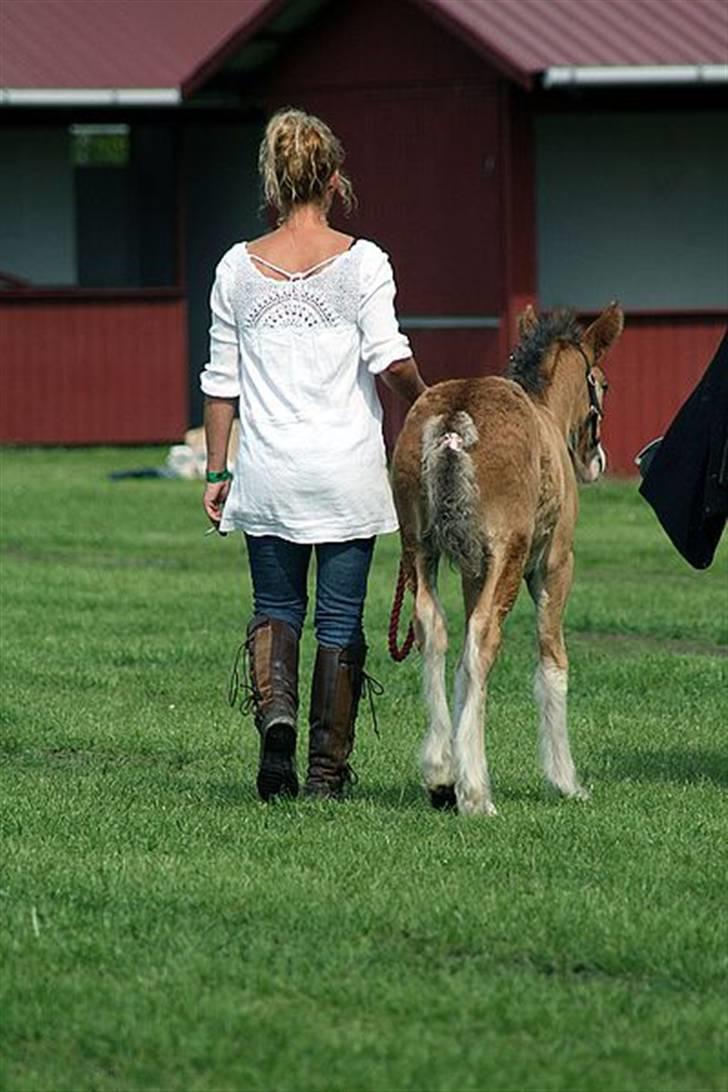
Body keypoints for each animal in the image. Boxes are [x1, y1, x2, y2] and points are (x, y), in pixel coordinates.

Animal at [391, 303, 624, 816]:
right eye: (602, 382)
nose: (596, 460)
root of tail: (454, 419)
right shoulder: (555, 564)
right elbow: (552, 659)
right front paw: (565, 780)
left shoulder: (472, 569)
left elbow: (461, 667)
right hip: (509, 554)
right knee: (483, 639)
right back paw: (477, 793)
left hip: (419, 548)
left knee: (432, 628)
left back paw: (441, 773)